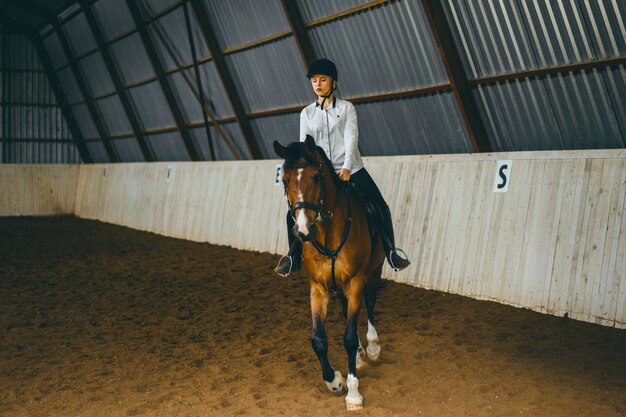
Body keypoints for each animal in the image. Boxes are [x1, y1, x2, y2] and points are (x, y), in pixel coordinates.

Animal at [272, 136, 386, 410]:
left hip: (373, 271)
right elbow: (318, 339)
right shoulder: (318, 287)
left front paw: (353, 393)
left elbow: (348, 337)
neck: (327, 231)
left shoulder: (356, 281)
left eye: (316, 176)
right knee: (347, 310)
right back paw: (361, 356)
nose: (303, 230)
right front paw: (334, 381)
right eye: (285, 180)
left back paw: (372, 348)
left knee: (370, 302)